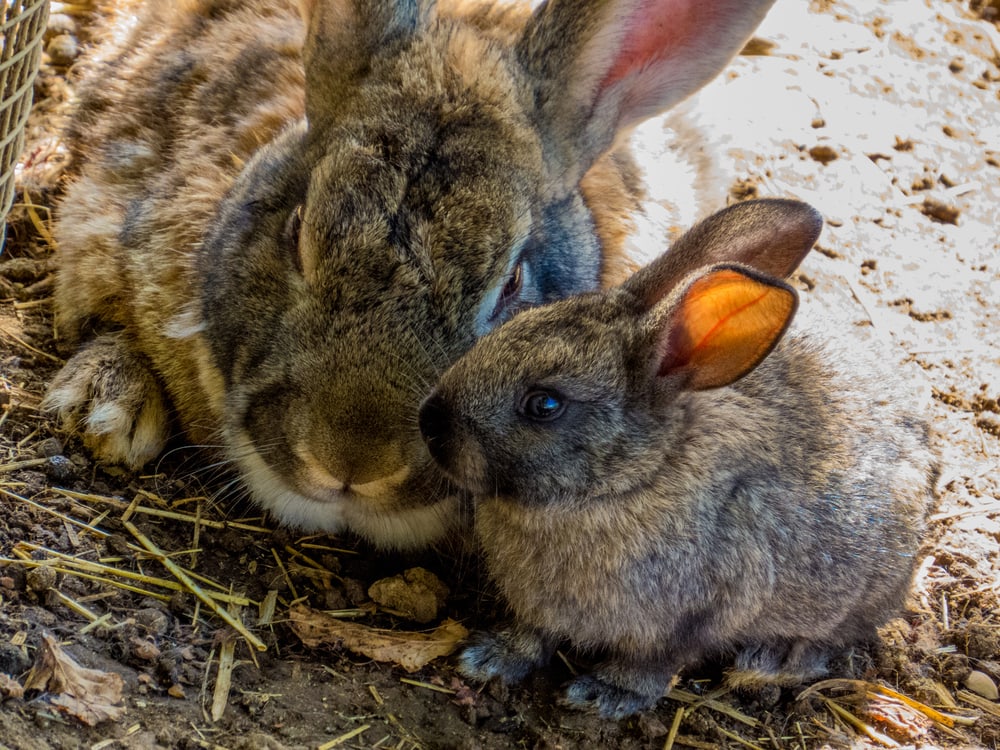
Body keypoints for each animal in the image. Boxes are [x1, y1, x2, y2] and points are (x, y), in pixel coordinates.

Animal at [418, 198, 940, 718]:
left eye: (544, 404)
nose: (430, 423)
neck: (630, 479)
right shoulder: (537, 608)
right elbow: (532, 635)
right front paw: (490, 658)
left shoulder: (696, 615)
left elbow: (652, 665)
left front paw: (604, 694)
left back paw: (766, 662)